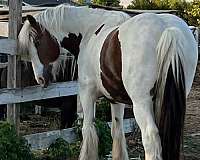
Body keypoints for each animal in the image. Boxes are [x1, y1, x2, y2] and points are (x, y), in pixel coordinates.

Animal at [17, 4, 198, 160]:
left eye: (37, 43)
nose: (40, 79)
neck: (89, 32)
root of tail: (167, 29)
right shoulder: (115, 99)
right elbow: (117, 130)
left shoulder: (87, 94)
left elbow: (88, 129)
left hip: (141, 103)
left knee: (151, 140)